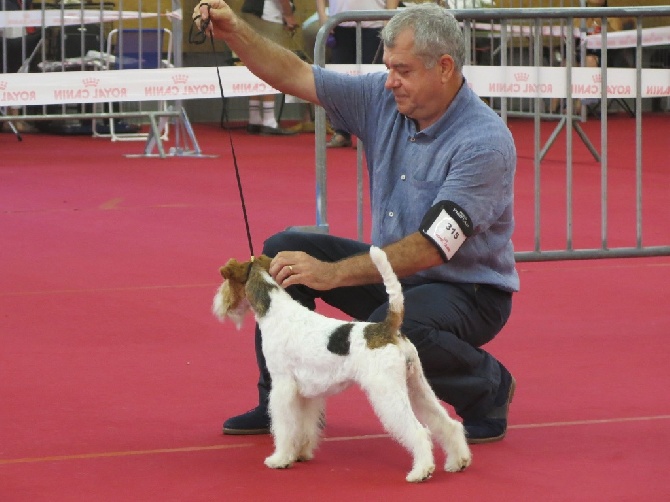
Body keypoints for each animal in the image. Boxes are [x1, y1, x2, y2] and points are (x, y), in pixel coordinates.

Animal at [214, 247, 472, 482]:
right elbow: (304, 425)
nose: (218, 306)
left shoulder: (283, 386)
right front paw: (300, 453)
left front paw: (280, 459)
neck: (275, 310)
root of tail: (389, 328)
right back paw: (458, 461)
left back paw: (420, 471)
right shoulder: (306, 393)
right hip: (416, 385)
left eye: (226, 281)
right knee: (447, 423)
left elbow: (285, 425)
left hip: (387, 391)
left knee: (419, 431)